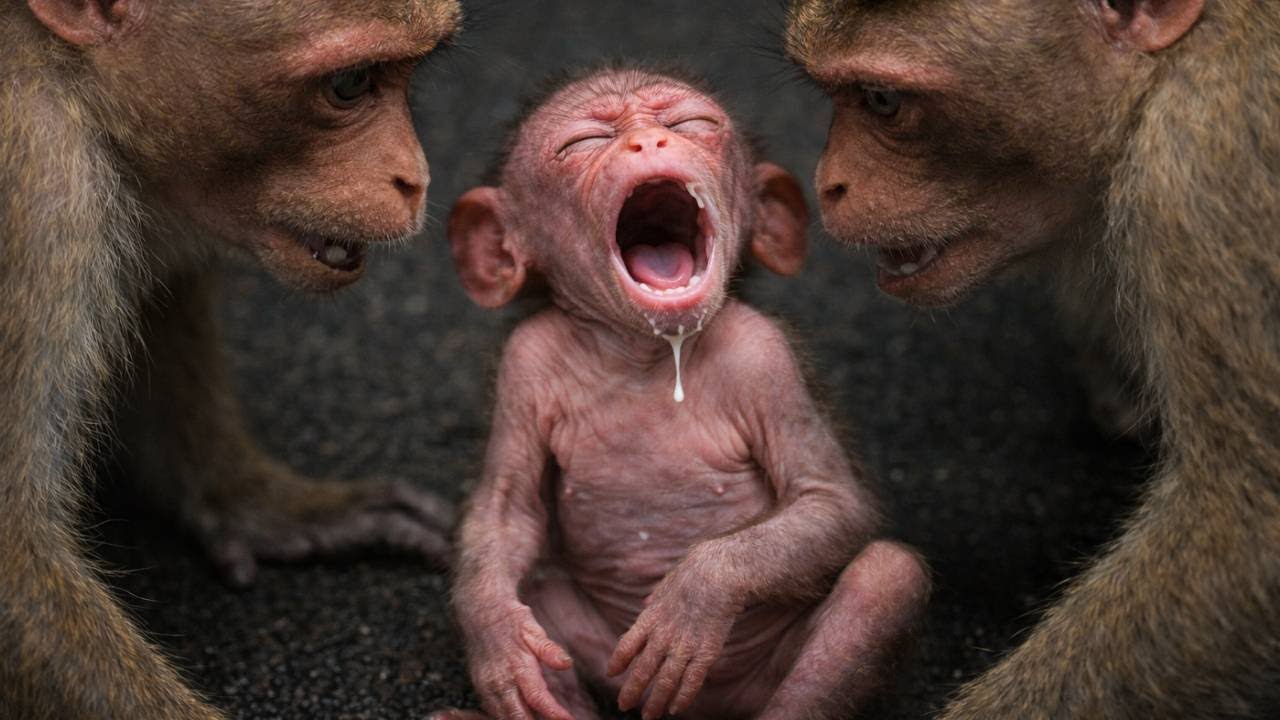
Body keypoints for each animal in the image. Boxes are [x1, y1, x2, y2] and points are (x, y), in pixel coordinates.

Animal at [0, 1, 461, 718]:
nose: (415, 180)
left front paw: (251, 498)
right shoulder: (35, 184)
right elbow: (16, 563)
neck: (62, 72)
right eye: (350, 84)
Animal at [430, 67, 930, 720]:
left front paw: (696, 594)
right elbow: (506, 509)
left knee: (884, 581)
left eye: (691, 125)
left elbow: (829, 499)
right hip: (610, 665)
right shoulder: (525, 361)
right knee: (534, 586)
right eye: (581, 144)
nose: (648, 141)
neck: (641, 354)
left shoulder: (764, 354)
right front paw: (495, 638)